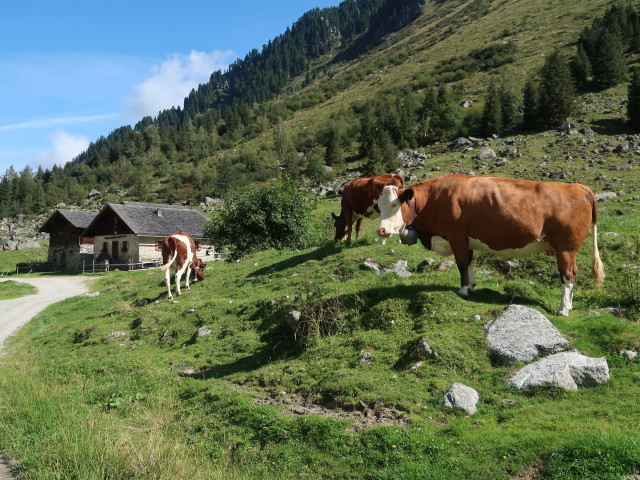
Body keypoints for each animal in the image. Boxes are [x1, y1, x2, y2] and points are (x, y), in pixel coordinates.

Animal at [376, 174, 604, 316]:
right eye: (378, 205)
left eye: (395, 204)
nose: (381, 230)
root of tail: (578, 186)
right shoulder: (466, 239)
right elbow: (468, 262)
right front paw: (471, 286)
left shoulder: (456, 235)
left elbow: (461, 263)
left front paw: (463, 290)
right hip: (569, 250)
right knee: (573, 273)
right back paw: (570, 305)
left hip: (566, 248)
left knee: (567, 275)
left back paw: (563, 308)